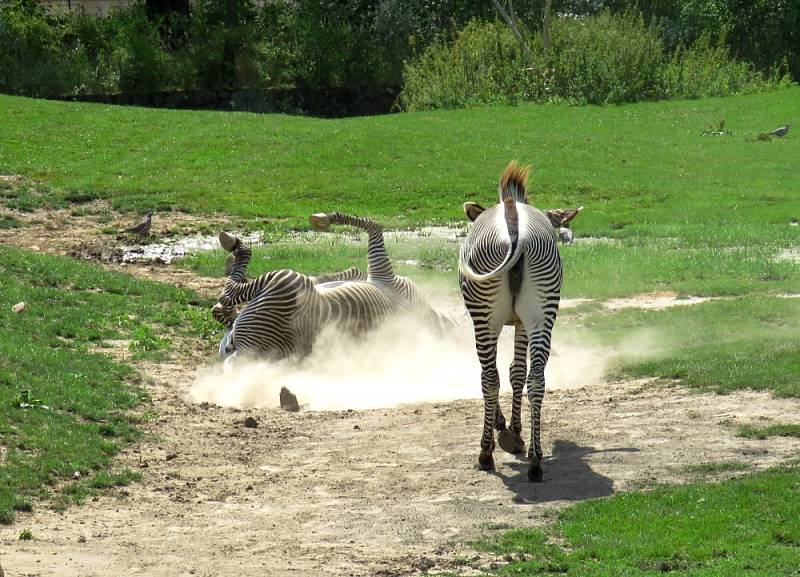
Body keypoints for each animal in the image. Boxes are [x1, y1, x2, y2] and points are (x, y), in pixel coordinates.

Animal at [212, 212, 454, 362]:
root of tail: (246, 354)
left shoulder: (384, 274)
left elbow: (374, 225)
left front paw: (325, 218)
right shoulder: (379, 276)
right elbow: (353, 270)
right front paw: (337, 274)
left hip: (285, 279)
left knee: (227, 295)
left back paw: (233, 244)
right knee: (222, 310)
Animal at [460, 161, 564, 482]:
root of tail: (514, 224)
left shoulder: (506, 323)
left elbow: (502, 372)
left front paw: (505, 429)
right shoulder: (521, 322)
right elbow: (518, 372)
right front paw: (516, 434)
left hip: (485, 315)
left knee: (488, 378)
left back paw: (485, 454)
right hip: (542, 311)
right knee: (537, 379)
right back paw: (536, 460)